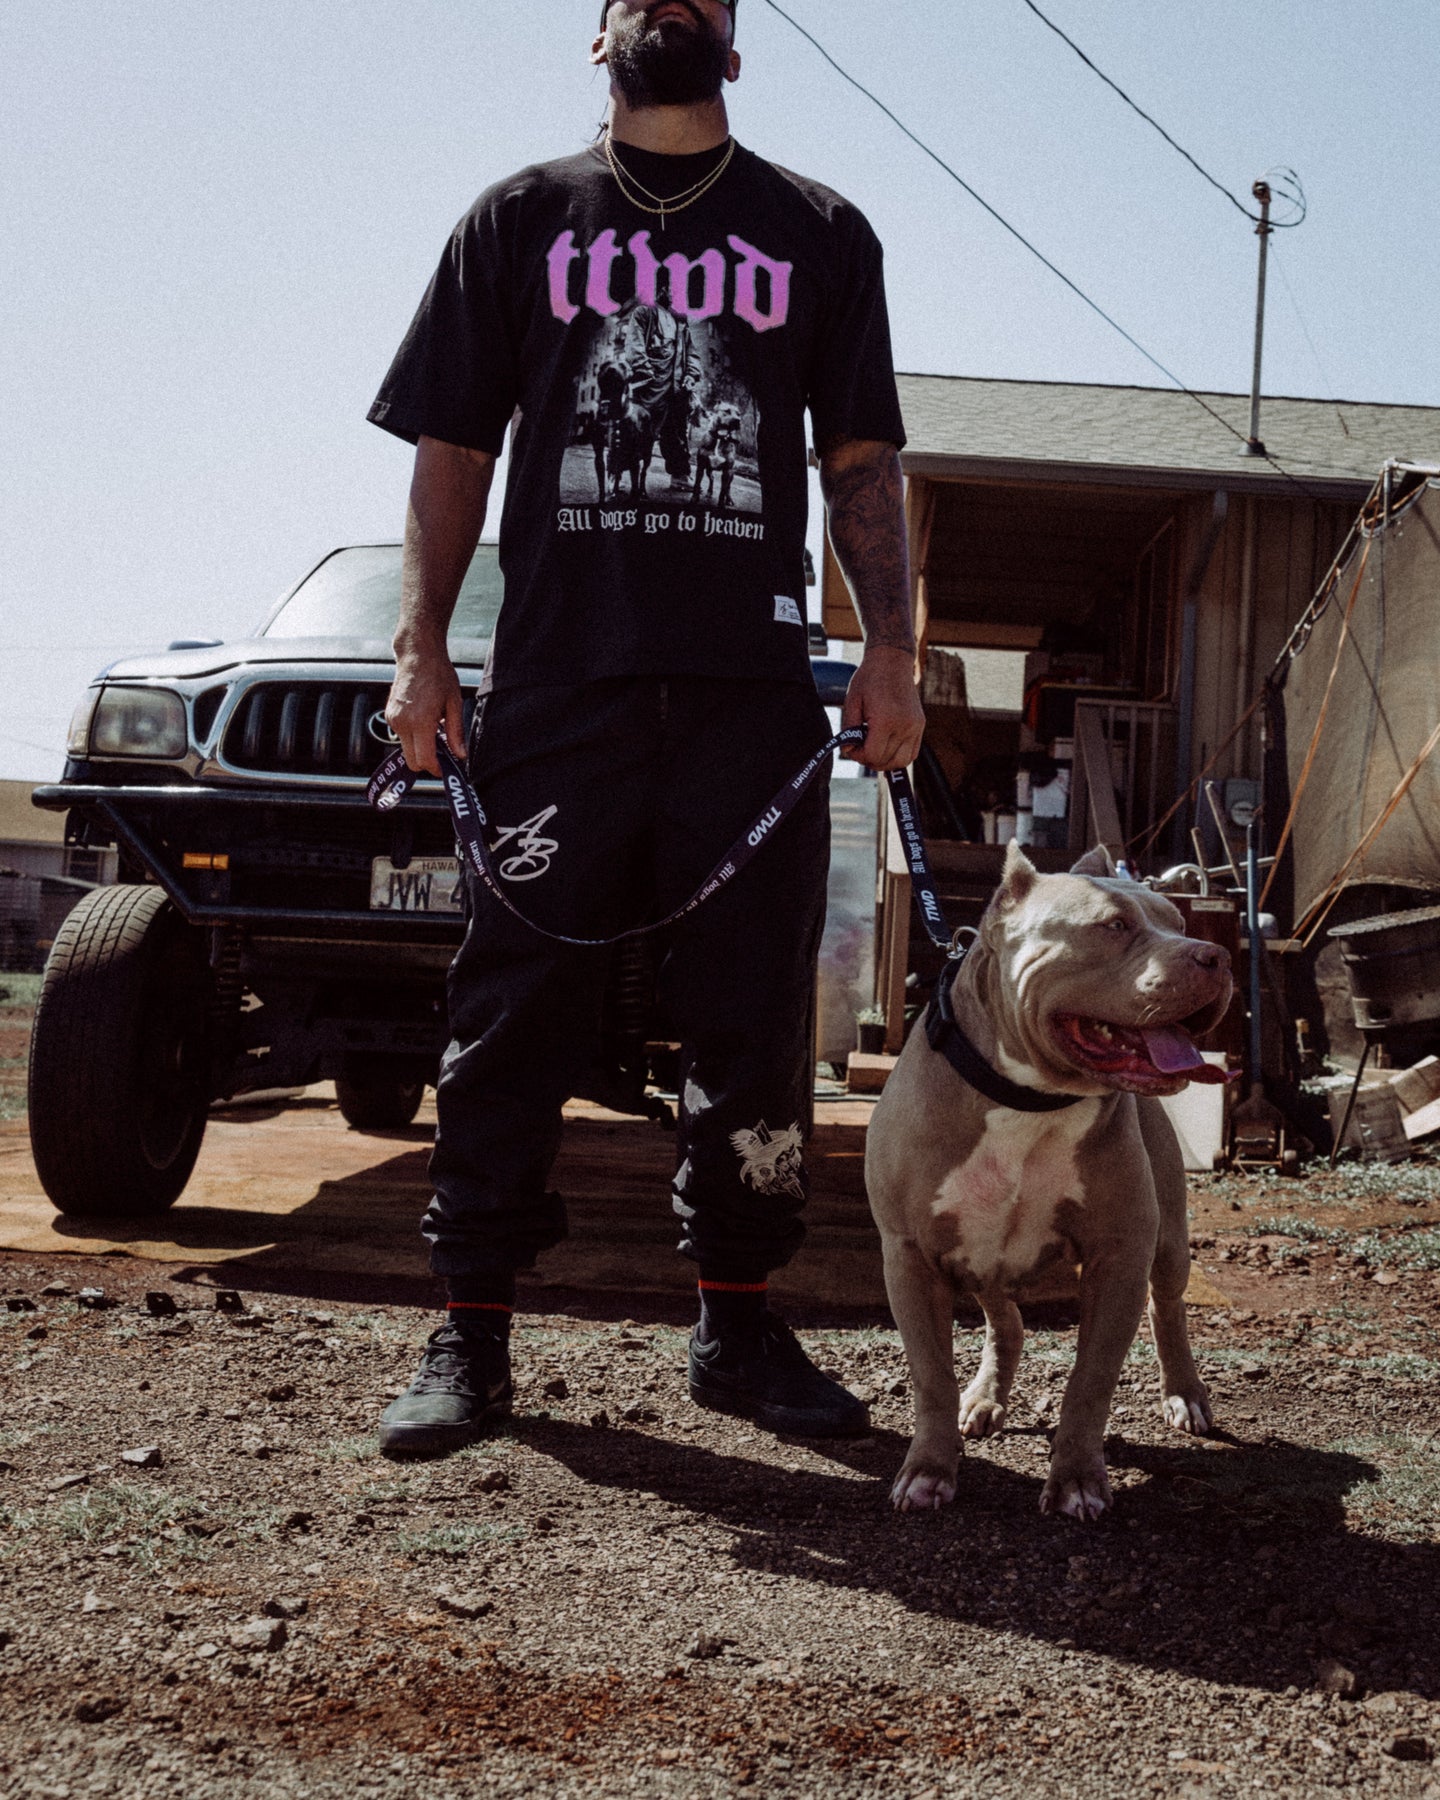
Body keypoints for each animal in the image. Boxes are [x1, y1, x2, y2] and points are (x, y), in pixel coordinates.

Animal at [865, 843, 1233, 1521]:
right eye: (1114, 925)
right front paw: (929, 1470)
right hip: (977, 1255)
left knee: (1166, 1307)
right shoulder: (910, 1258)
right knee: (1004, 1320)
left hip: (1169, 1243)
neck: (1030, 1100)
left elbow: (1090, 1382)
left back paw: (1184, 1393)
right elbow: (932, 1376)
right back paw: (984, 1397)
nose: (1216, 956)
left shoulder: (1120, 1254)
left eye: (1180, 921)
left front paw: (1077, 1480)